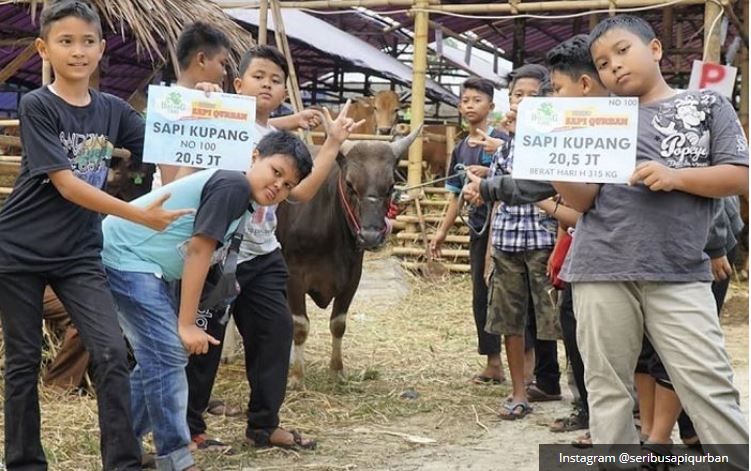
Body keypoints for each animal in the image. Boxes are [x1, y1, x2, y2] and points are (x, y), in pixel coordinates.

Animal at [276, 125, 424, 388]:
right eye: (350, 183)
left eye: (390, 186)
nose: (371, 236)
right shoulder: (294, 276)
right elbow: (301, 325)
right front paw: (296, 376)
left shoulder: (352, 278)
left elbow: (338, 324)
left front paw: (337, 370)